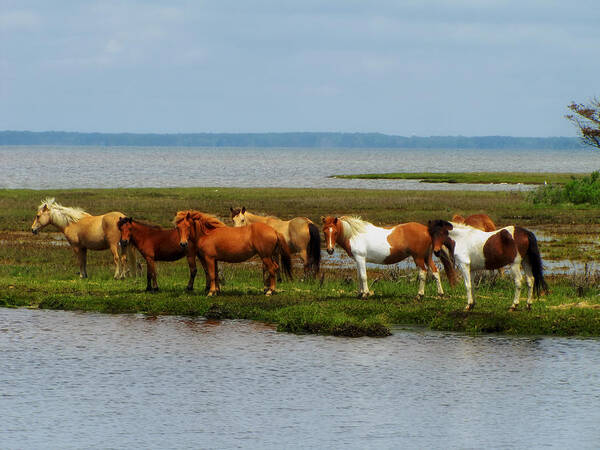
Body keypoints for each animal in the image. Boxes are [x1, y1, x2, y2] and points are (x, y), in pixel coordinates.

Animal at [318, 215, 454, 298]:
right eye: (324, 231)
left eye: (335, 232)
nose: (330, 250)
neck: (354, 234)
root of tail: (427, 230)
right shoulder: (357, 260)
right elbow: (359, 276)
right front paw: (360, 293)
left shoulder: (361, 258)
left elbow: (363, 276)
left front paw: (365, 293)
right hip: (427, 257)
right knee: (435, 271)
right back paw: (440, 293)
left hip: (418, 258)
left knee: (423, 272)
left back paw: (420, 294)